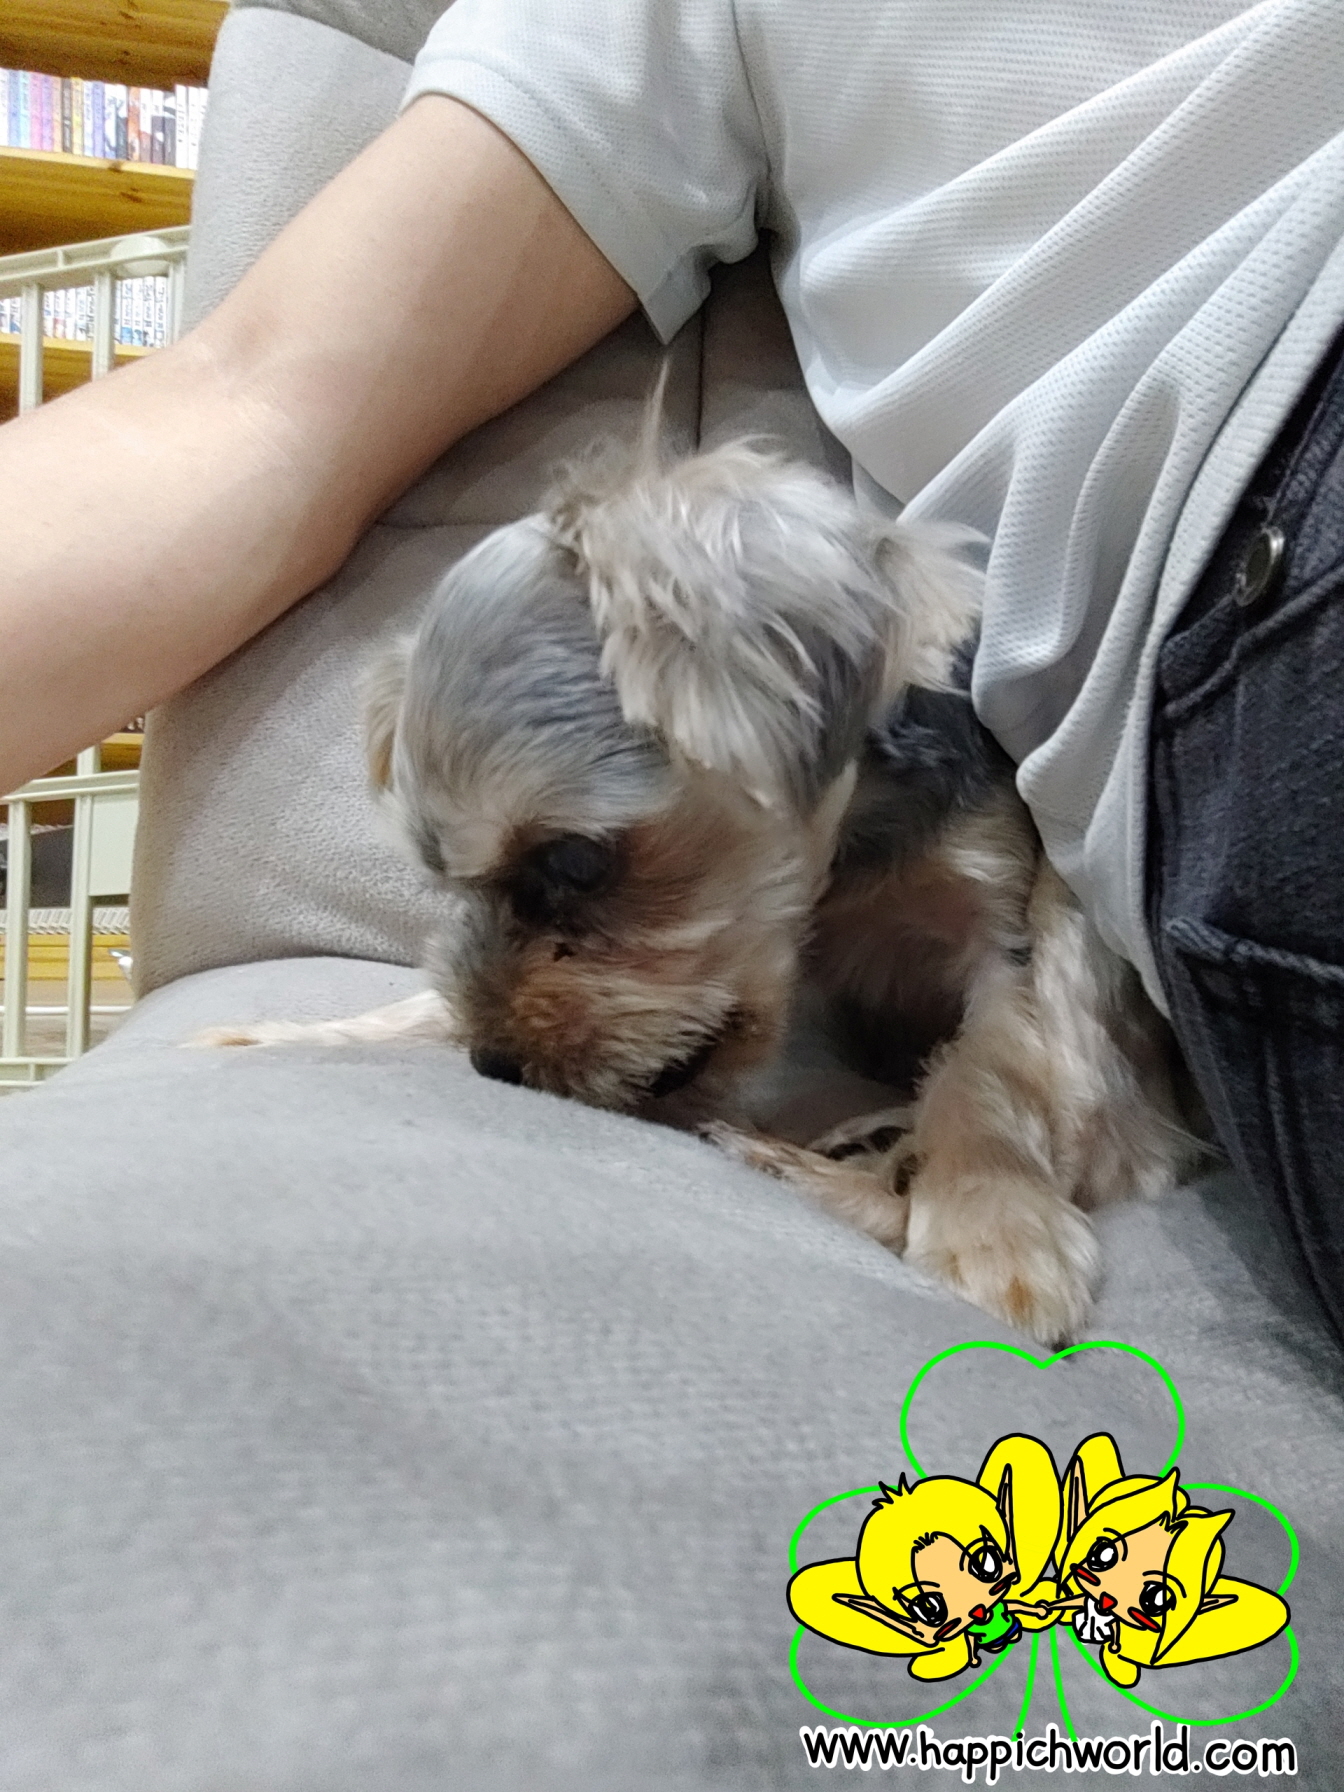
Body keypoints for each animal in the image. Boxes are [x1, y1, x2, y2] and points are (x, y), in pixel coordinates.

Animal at [198, 424, 1196, 1343]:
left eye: (572, 862)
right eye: (451, 881)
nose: (495, 1065)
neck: (847, 869)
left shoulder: (999, 910)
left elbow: (990, 1065)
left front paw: (995, 1221)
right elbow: (412, 1008)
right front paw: (287, 1035)